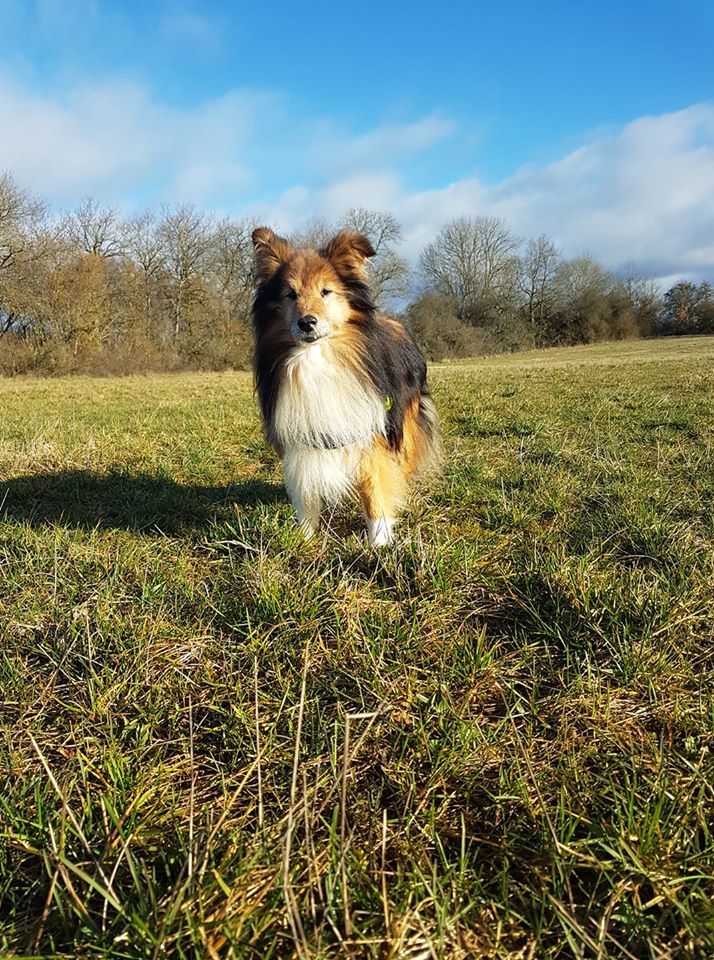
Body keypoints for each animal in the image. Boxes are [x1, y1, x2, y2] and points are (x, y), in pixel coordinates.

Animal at [250, 223, 440, 540]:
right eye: (290, 294)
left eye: (326, 291)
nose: (307, 323)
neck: (316, 359)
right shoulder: (302, 434)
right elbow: (306, 491)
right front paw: (304, 537)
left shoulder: (371, 430)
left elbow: (374, 487)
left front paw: (380, 540)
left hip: (404, 424)